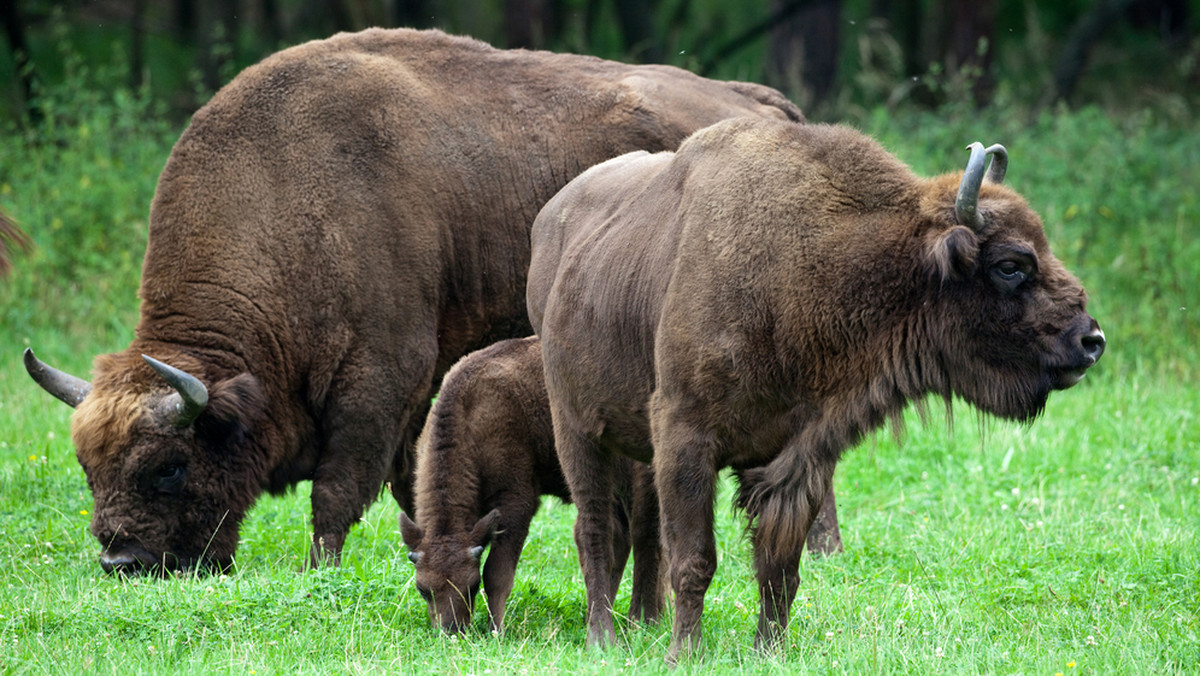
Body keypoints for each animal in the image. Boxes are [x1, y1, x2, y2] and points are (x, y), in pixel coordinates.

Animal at [23, 27, 806, 576]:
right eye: (88, 468)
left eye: (170, 466)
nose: (122, 561)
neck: (289, 196)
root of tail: (761, 104)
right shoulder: (416, 397)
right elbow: (411, 478)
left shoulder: (381, 379)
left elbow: (337, 492)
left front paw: (320, 575)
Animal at [398, 336, 662, 633]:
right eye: (422, 589)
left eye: (472, 585)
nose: (452, 630)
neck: (469, 413)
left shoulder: (516, 500)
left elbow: (497, 572)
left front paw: (496, 630)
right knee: (619, 537)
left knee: (645, 534)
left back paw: (643, 620)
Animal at [530, 117, 1108, 662]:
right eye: (1010, 265)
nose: (1090, 340)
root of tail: (549, 220)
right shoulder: (685, 437)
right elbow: (696, 558)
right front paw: (683, 654)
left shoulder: (798, 456)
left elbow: (779, 567)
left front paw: (769, 650)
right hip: (575, 427)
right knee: (595, 529)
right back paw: (602, 638)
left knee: (640, 528)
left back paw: (637, 627)